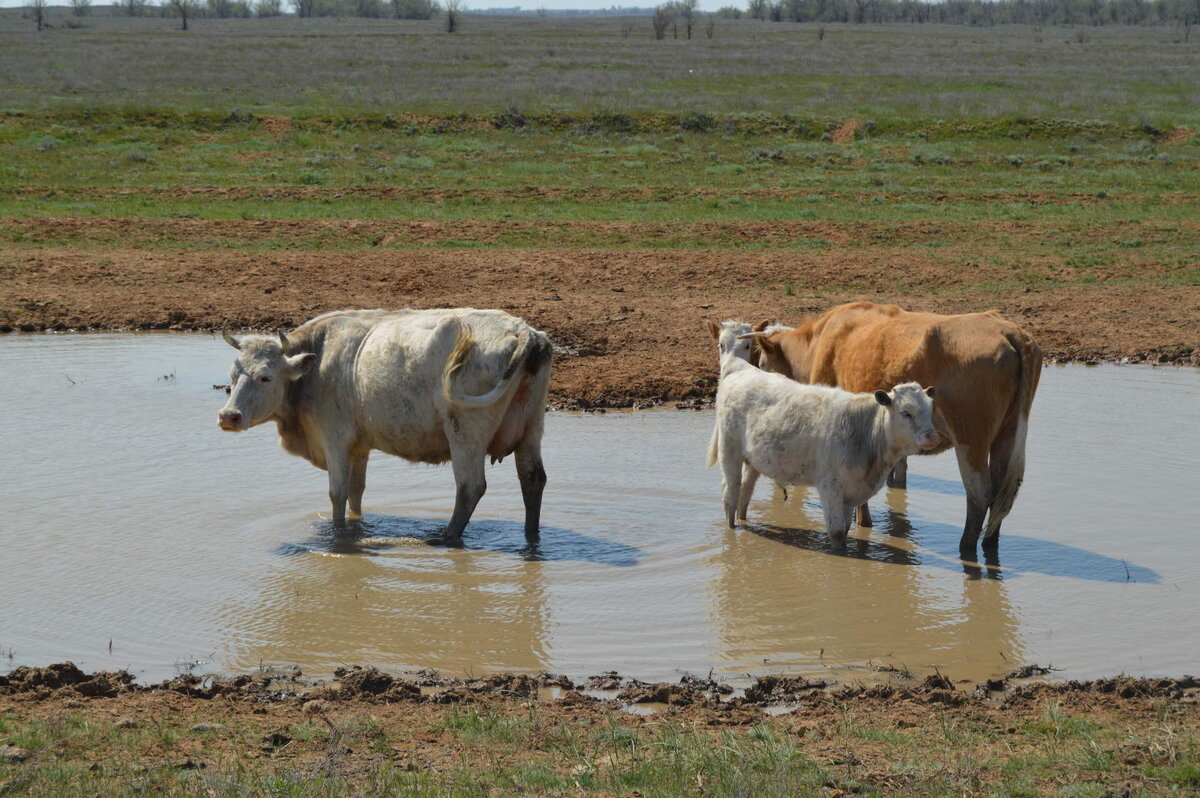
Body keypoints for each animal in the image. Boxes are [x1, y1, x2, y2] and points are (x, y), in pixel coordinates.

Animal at [217, 307, 552, 544]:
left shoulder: (334, 439)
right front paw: (356, 525)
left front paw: (338, 535)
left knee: (470, 487)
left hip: (465, 433)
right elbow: (356, 490)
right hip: (532, 427)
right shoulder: (359, 446)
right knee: (532, 479)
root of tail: (522, 330)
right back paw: (531, 537)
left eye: (265, 377)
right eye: (233, 376)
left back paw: (446, 538)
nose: (228, 416)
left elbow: (337, 492)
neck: (319, 361)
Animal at [710, 352, 936, 544]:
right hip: (729, 452)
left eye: (930, 410)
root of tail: (741, 369)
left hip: (753, 460)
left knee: (745, 493)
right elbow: (836, 532)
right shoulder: (830, 486)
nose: (932, 436)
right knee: (731, 494)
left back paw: (743, 521)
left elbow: (845, 530)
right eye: (906, 412)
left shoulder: (850, 493)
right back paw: (732, 530)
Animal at [748, 298, 1041, 554]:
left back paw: (966, 548)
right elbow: (898, 474)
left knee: (980, 492)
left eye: (762, 363)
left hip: (971, 439)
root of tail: (1009, 331)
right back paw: (990, 545)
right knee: (1003, 492)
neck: (820, 341)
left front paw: (863, 524)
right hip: (1007, 434)